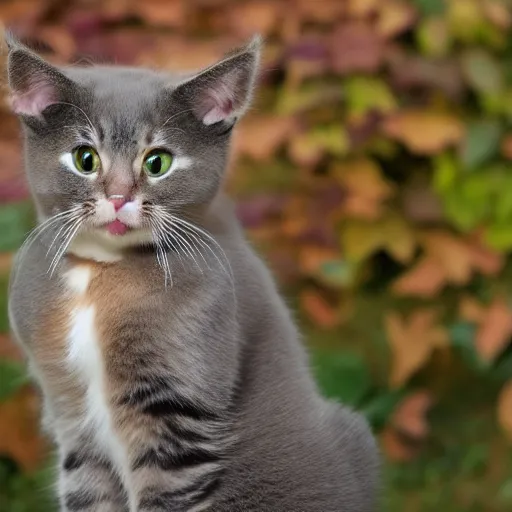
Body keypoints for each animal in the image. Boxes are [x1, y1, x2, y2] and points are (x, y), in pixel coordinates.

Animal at [6, 33, 378, 512]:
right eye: (85, 158)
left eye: (157, 162)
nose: (120, 197)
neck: (99, 277)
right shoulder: (68, 411)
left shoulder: (178, 413)